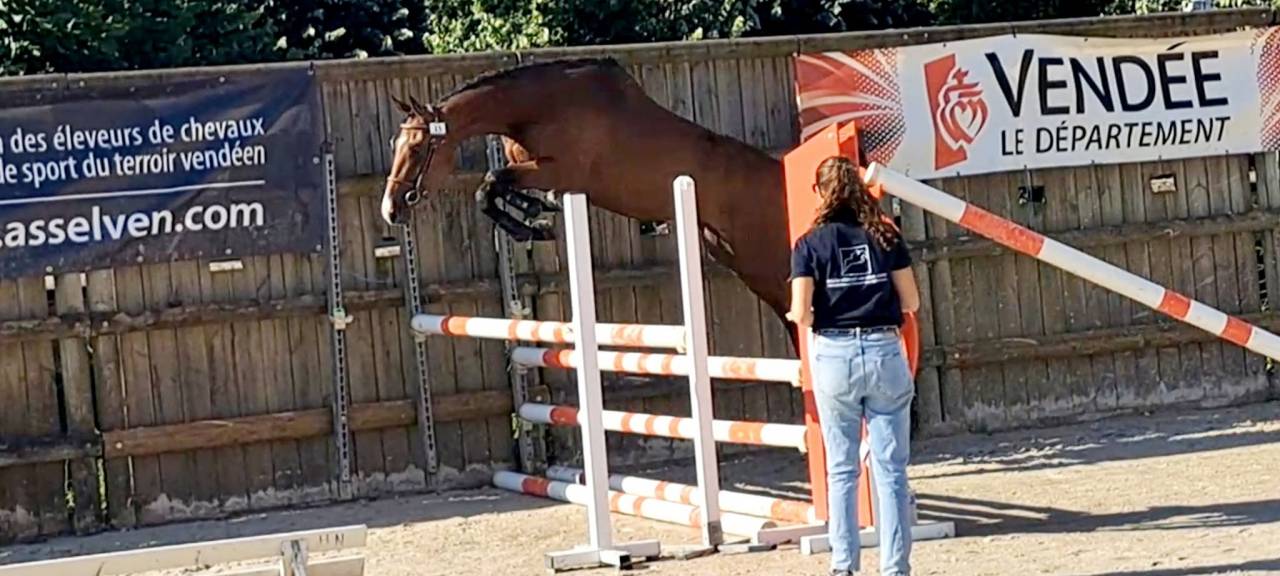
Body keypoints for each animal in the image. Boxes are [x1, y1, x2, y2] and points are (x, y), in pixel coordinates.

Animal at [380, 57, 792, 332]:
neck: (540, 107)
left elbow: (491, 182)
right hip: (735, 256)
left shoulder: (562, 171)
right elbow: (492, 189)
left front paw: (535, 219)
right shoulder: (536, 171)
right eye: (395, 144)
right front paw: (536, 217)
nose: (391, 210)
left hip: (764, 259)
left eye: (416, 148)